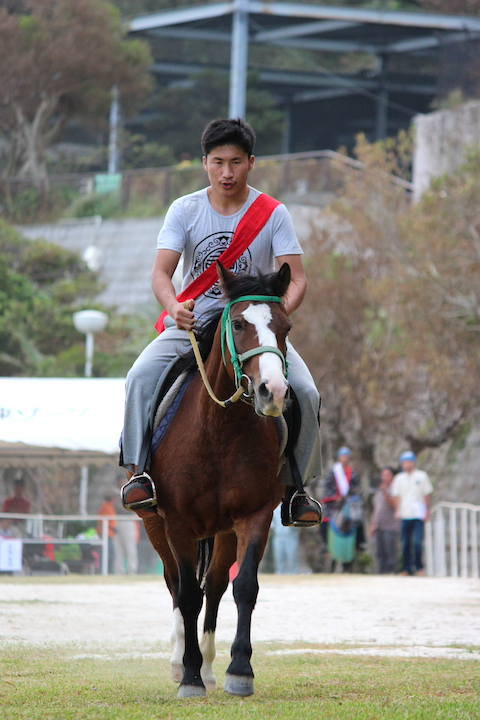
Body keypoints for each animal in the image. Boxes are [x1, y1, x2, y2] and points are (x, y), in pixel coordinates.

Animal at [141, 261, 292, 698]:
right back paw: (182, 662)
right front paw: (189, 676)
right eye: (239, 324)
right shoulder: (176, 521)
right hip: (154, 524)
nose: (273, 391)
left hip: (222, 530)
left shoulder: (255, 515)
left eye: (286, 327)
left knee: (216, 584)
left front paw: (239, 670)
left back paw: (208, 664)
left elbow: (244, 587)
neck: (221, 430)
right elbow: (188, 595)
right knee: (176, 583)